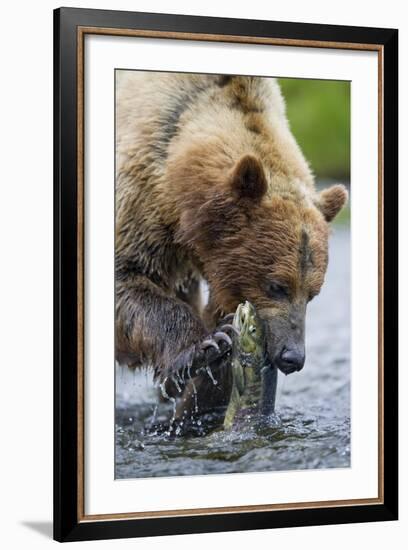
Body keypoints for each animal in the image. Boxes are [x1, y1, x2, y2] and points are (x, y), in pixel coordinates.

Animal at [115, 71, 348, 420]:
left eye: (313, 293)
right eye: (277, 285)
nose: (292, 357)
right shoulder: (140, 194)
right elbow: (128, 277)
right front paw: (205, 346)